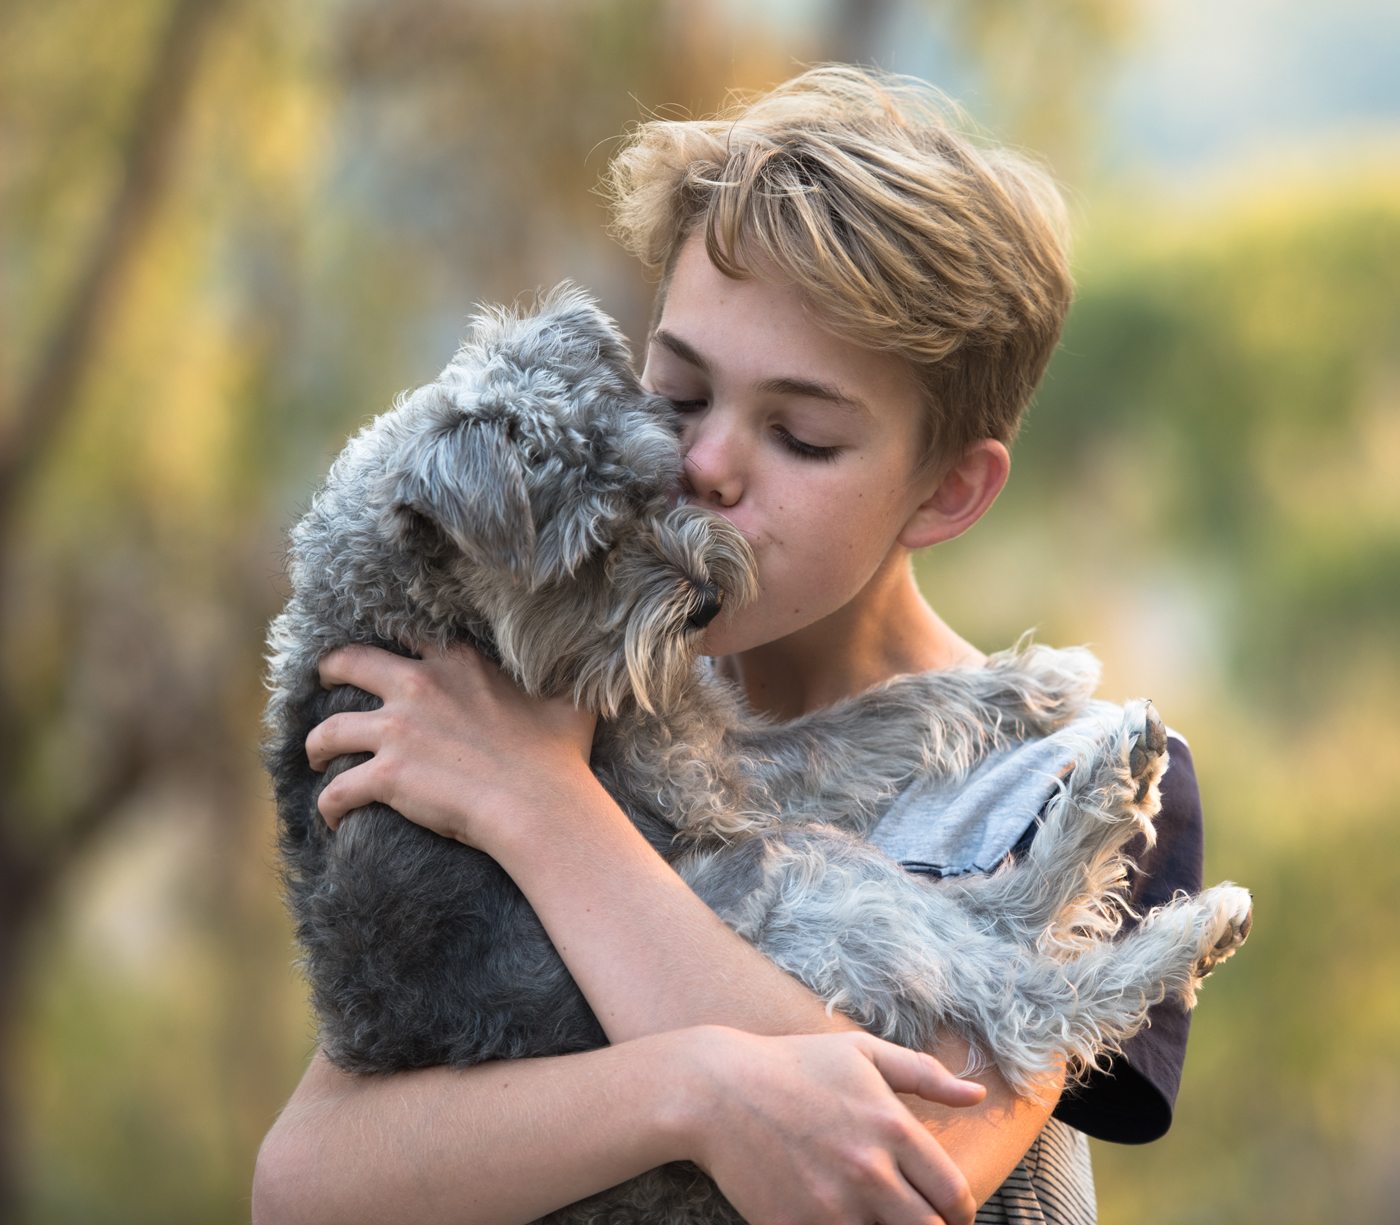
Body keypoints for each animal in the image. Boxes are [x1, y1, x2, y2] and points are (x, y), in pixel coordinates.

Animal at [267, 285, 1254, 1215]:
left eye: (659, 482)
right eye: (589, 556)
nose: (705, 601)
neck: (414, 605)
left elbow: (874, 713)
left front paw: (1029, 675)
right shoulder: (715, 772)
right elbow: (882, 712)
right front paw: (1030, 677)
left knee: (997, 922)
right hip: (797, 878)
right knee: (1022, 995)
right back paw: (1170, 882)